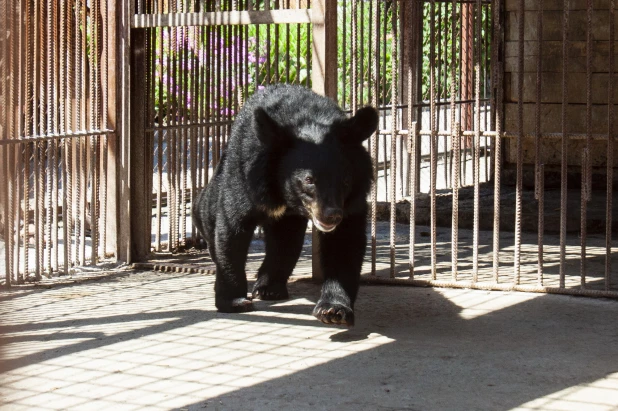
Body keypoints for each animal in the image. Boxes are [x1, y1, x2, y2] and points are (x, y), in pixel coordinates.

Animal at [191, 84, 376, 328]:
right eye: (309, 180)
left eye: (345, 180)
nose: (332, 216)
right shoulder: (248, 175)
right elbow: (233, 229)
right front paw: (234, 301)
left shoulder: (352, 198)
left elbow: (344, 241)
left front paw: (333, 310)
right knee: (207, 210)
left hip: (287, 220)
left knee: (285, 241)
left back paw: (270, 288)